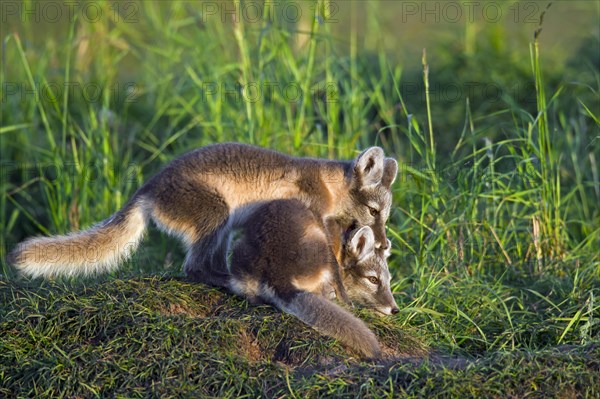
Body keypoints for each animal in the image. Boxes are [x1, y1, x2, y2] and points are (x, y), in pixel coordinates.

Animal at [9, 143, 398, 284]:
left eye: (386, 215)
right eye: (374, 210)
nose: (384, 244)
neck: (329, 184)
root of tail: (147, 187)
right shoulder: (310, 211)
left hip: (223, 228)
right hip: (215, 214)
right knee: (193, 267)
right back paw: (222, 280)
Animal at [227, 200, 396, 360]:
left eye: (389, 280)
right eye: (373, 279)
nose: (395, 310)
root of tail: (277, 274)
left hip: (238, 250)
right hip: (321, 242)